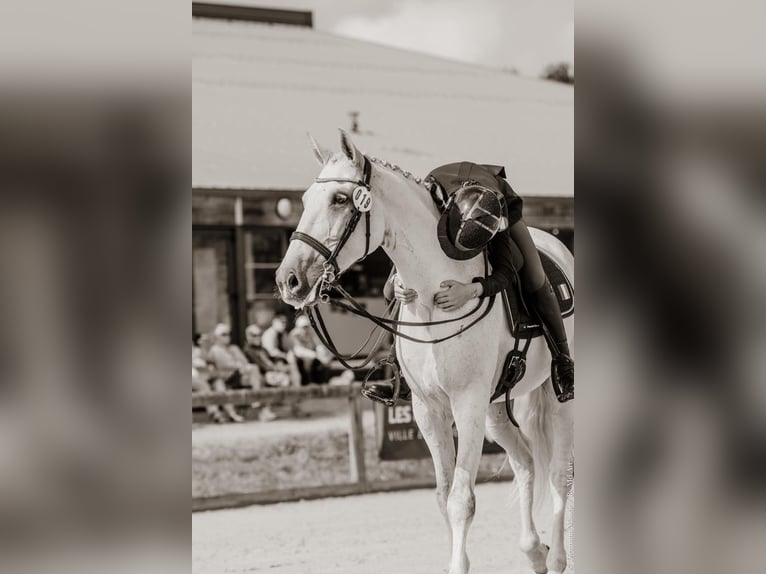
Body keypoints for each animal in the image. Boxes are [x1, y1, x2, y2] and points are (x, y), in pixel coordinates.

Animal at [276, 130, 574, 574]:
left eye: (340, 200)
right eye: (306, 199)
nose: (288, 280)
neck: (434, 287)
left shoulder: (465, 403)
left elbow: (461, 500)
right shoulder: (428, 408)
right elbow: (442, 495)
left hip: (552, 401)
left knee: (559, 473)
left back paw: (555, 558)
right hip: (494, 411)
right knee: (524, 462)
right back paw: (533, 551)